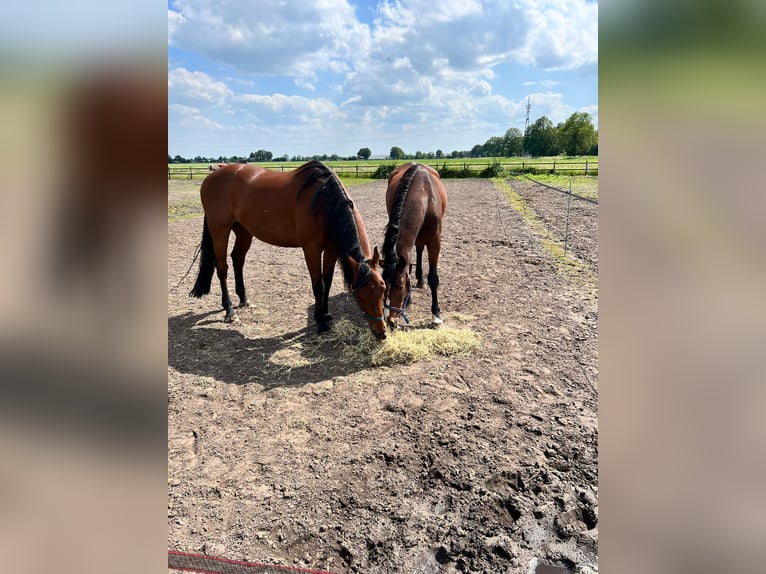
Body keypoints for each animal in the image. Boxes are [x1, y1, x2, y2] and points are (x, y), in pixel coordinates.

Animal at [190, 160, 388, 340]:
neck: (323, 200)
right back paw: (229, 310)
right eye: (360, 294)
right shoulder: (311, 249)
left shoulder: (331, 250)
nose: (382, 333)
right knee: (222, 268)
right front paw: (320, 322)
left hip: (244, 231)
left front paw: (325, 314)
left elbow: (328, 282)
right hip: (219, 230)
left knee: (237, 259)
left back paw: (244, 299)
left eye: (383, 289)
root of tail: (215, 173)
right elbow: (319, 286)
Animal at [384, 164, 450, 330]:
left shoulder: (435, 241)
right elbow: (408, 266)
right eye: (383, 284)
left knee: (420, 250)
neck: (424, 194)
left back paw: (421, 280)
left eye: (400, 285)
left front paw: (436, 315)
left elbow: (433, 278)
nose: (389, 321)